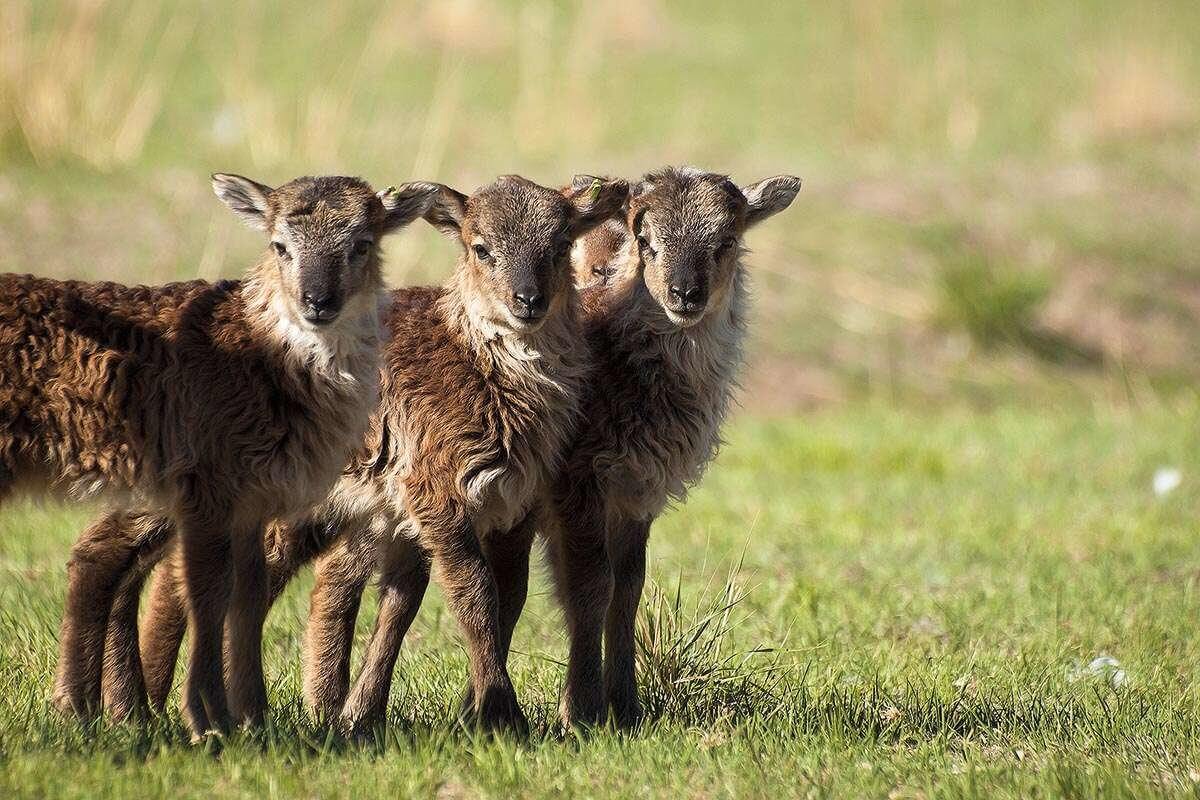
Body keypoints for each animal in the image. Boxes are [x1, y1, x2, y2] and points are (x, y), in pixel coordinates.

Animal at [10, 175, 441, 738]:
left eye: (362, 245)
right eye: (279, 245)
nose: (317, 302)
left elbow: (254, 594)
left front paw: (258, 714)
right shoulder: (214, 489)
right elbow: (212, 590)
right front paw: (214, 718)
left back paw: (108, 707)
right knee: (114, 554)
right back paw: (105, 707)